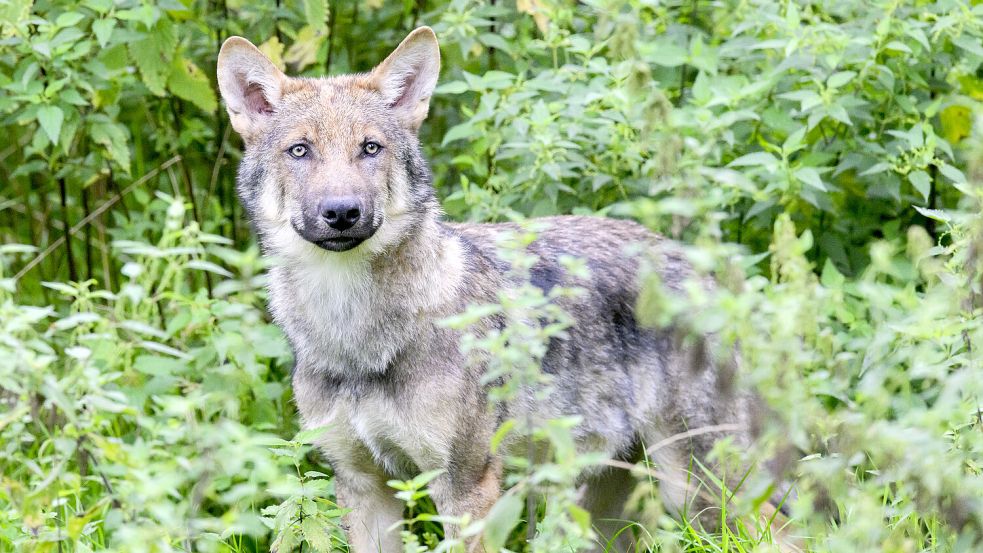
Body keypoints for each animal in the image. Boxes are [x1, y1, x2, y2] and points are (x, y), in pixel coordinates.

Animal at [217, 27, 784, 552]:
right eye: (300, 150)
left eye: (369, 148)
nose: (341, 212)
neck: (354, 333)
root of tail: (702, 269)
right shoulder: (363, 487)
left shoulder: (465, 488)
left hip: (701, 492)